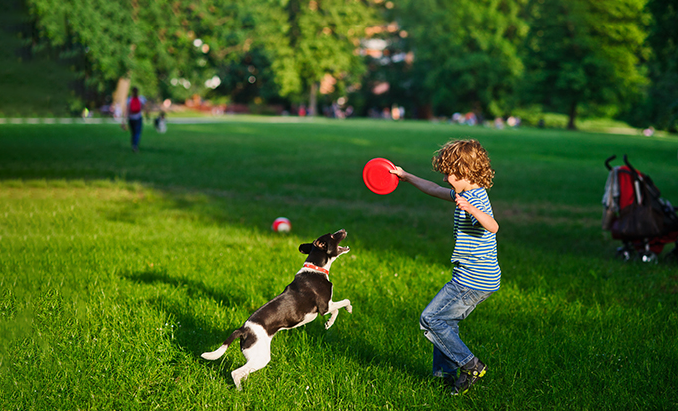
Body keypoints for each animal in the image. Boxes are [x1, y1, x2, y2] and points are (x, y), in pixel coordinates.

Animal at [201, 230, 354, 392]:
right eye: (332, 235)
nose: (343, 230)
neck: (316, 268)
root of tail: (244, 330)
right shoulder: (325, 306)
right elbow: (344, 302)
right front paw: (348, 309)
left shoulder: (327, 306)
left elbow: (336, 311)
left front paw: (329, 323)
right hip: (261, 357)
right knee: (236, 373)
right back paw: (241, 391)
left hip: (254, 357)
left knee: (244, 372)